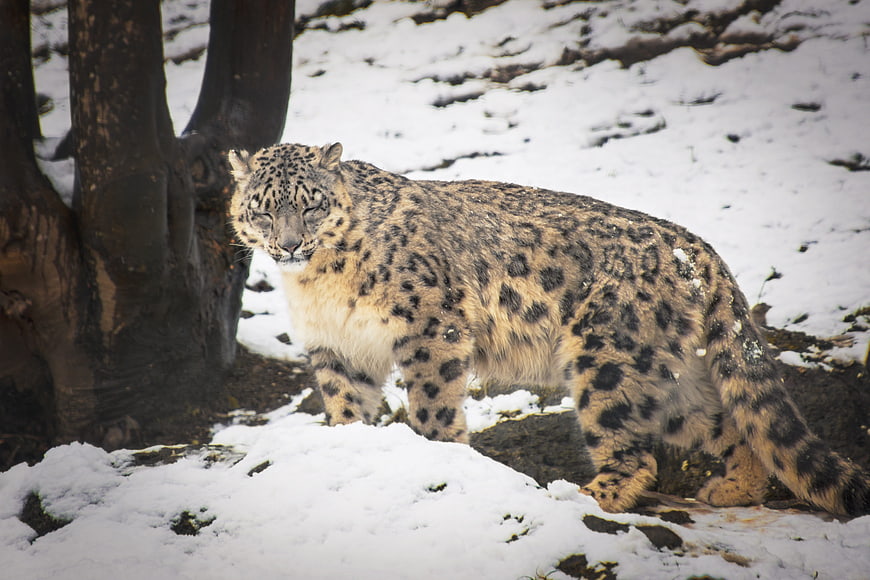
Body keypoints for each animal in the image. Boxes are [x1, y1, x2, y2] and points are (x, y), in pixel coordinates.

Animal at [227, 142, 869, 516]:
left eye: (311, 203)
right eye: (263, 206)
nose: (289, 243)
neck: (317, 284)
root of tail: (694, 245)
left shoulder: (430, 328)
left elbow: (432, 403)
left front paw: (439, 454)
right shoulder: (336, 348)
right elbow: (346, 406)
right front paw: (350, 448)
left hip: (606, 358)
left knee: (634, 451)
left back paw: (586, 498)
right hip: (670, 375)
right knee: (732, 425)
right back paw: (733, 489)